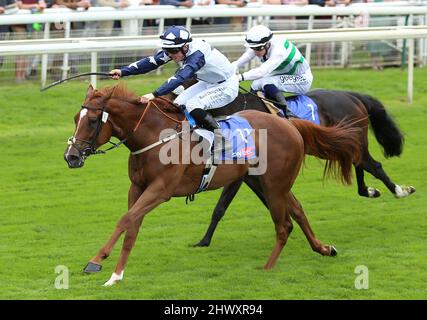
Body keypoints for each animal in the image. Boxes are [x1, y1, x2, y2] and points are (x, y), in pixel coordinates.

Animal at [64, 84, 362, 286]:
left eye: (93, 120)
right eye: (76, 118)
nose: (71, 157)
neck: (155, 136)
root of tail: (288, 123)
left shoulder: (160, 190)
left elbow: (125, 220)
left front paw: (95, 262)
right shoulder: (137, 187)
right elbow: (132, 227)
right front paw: (117, 275)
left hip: (273, 184)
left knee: (284, 225)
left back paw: (267, 268)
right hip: (268, 182)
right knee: (298, 211)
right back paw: (323, 248)